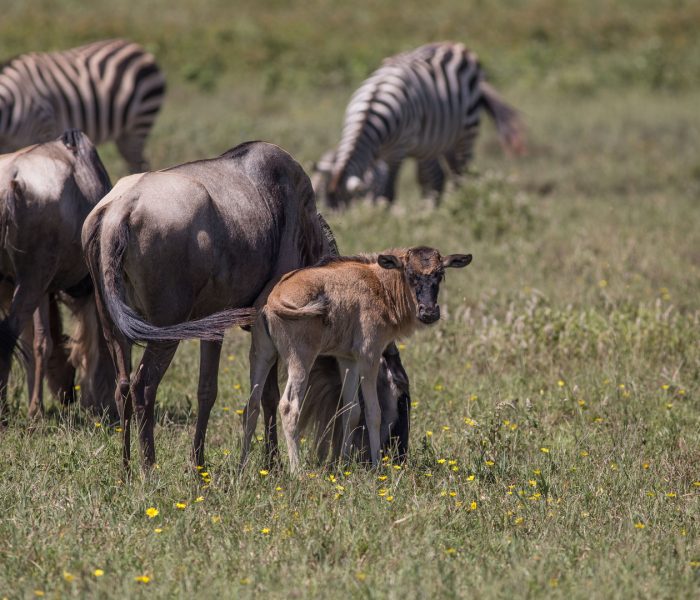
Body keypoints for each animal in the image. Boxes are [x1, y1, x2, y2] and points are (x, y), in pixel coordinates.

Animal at [243, 246, 474, 472]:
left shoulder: (348, 360)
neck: (379, 284)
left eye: (440, 274)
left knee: (252, 405)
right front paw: (377, 467)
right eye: (410, 274)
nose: (429, 312)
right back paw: (297, 472)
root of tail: (273, 299)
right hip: (300, 359)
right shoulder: (369, 357)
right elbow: (373, 412)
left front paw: (343, 464)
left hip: (262, 355)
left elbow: (351, 410)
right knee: (289, 407)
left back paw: (242, 466)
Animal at [320, 41, 524, 207]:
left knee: (462, 175)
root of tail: (455, 45)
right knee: (440, 177)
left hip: (466, 132)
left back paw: (464, 203)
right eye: (327, 203)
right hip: (437, 141)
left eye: (347, 203)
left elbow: (388, 193)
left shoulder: (396, 151)